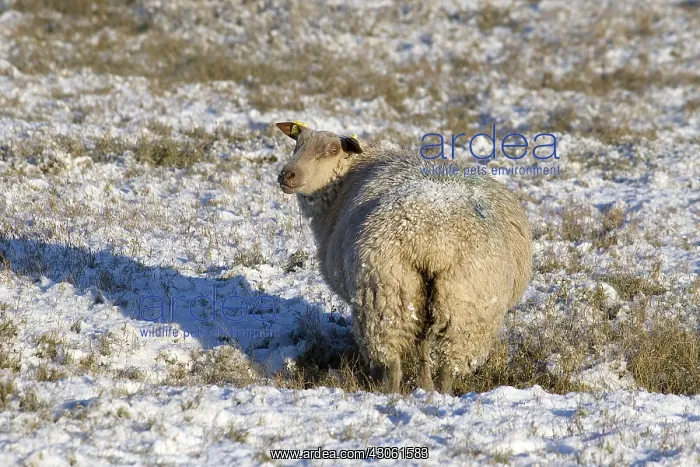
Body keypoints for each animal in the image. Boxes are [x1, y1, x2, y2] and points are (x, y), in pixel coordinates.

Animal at [275, 121, 532, 394]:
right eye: (297, 144)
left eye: (332, 150)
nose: (287, 175)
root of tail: (433, 237)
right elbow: (422, 347)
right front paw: (425, 384)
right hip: (461, 300)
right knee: (447, 363)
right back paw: (440, 393)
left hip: (387, 291)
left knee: (393, 360)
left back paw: (392, 393)